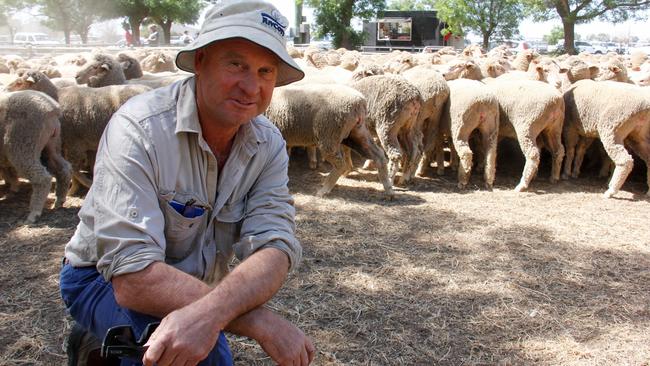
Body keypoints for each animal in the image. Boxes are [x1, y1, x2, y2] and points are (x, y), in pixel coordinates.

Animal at [0, 91, 71, 223]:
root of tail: (51, 108)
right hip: (51, 145)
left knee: (43, 178)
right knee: (64, 168)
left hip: (23, 145)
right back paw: (59, 201)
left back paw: (34, 214)